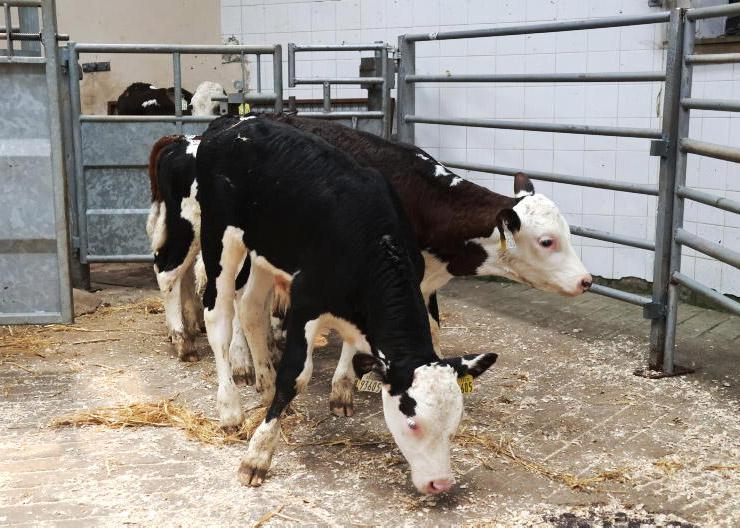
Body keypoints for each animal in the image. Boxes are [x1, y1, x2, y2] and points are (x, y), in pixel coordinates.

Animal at [196, 114, 498, 494]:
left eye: (455, 421)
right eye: (413, 423)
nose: (441, 483)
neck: (372, 240)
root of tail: (234, 121)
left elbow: (354, 352)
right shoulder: (305, 300)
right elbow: (295, 377)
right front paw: (258, 454)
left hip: (264, 252)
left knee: (251, 309)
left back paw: (263, 385)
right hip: (219, 240)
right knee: (219, 318)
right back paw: (230, 409)